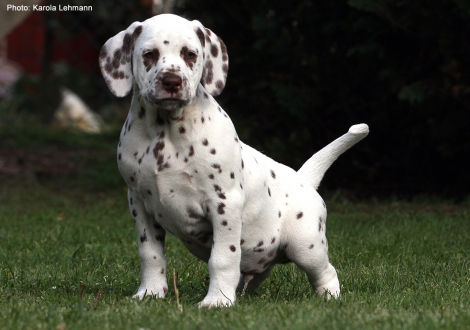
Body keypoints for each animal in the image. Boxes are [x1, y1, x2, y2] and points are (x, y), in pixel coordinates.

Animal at [99, 12, 370, 306]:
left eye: (190, 54)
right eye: (149, 54)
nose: (171, 81)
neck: (166, 132)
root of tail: (304, 179)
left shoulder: (224, 203)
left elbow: (223, 258)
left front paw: (216, 301)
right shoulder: (139, 204)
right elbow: (150, 254)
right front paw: (150, 293)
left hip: (306, 245)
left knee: (326, 271)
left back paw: (329, 297)